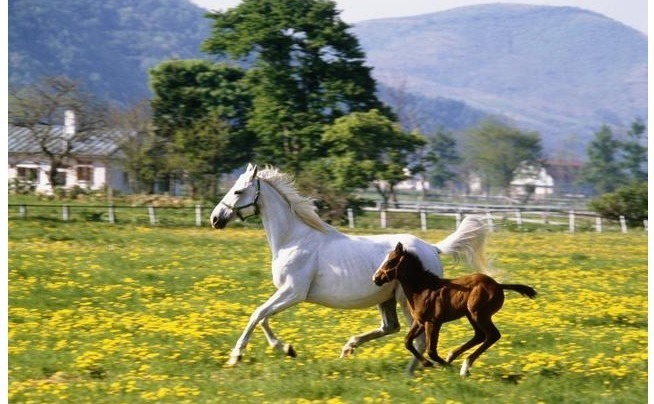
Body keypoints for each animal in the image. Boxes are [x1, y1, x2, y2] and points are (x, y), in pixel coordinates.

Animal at [210, 163, 486, 370]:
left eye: (237, 191)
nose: (215, 219)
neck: (294, 239)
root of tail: (432, 248)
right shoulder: (286, 293)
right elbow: (264, 317)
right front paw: (287, 349)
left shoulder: (293, 292)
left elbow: (257, 314)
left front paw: (236, 356)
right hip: (386, 298)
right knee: (391, 327)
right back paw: (349, 348)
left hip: (407, 300)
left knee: (416, 338)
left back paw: (413, 372)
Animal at [374, 241, 540, 378]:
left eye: (391, 261)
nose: (375, 279)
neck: (423, 289)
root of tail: (498, 285)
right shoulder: (419, 321)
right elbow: (407, 341)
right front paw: (429, 363)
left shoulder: (433, 322)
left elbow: (431, 350)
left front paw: (443, 366)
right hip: (471, 315)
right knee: (480, 335)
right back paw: (452, 356)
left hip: (479, 313)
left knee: (492, 335)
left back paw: (464, 367)